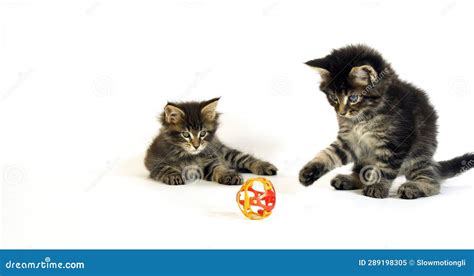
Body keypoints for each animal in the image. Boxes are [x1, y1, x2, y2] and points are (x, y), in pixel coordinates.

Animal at [144, 97, 278, 185]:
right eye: (186, 134)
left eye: (203, 133)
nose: (196, 146)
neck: (188, 155)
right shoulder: (155, 162)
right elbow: (165, 168)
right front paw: (174, 176)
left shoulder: (208, 162)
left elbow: (218, 168)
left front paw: (229, 174)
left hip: (226, 153)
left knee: (245, 158)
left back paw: (264, 166)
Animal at [300, 44, 474, 198]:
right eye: (333, 97)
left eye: (353, 98)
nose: (341, 112)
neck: (364, 116)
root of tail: (432, 161)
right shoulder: (350, 140)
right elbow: (330, 154)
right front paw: (309, 171)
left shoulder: (396, 141)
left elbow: (384, 167)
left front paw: (377, 186)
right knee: (362, 172)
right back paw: (348, 179)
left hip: (419, 154)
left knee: (432, 181)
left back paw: (414, 187)